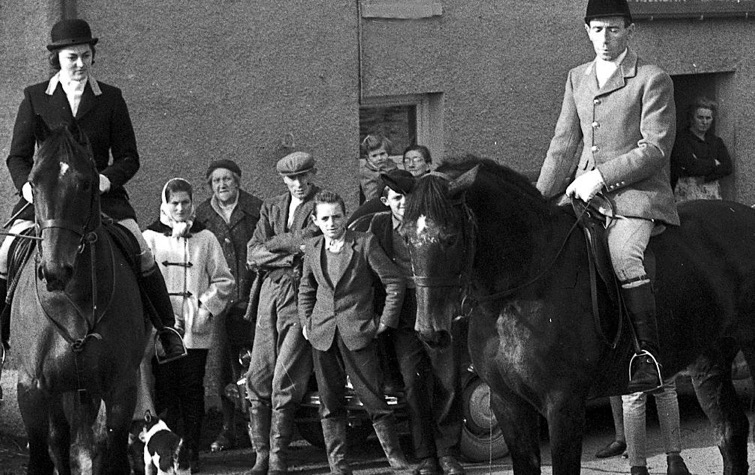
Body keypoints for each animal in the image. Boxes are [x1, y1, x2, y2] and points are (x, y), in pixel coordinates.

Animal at [11, 126, 147, 475]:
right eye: (33, 182)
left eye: (86, 183)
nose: (55, 271)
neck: (71, 297)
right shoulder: (31, 389)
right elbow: (42, 457)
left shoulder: (121, 389)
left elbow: (112, 456)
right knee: (60, 440)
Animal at [402, 157, 755, 475]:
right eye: (405, 236)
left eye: (450, 238)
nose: (430, 331)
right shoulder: (507, 403)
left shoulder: (563, 403)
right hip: (708, 361)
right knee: (731, 431)